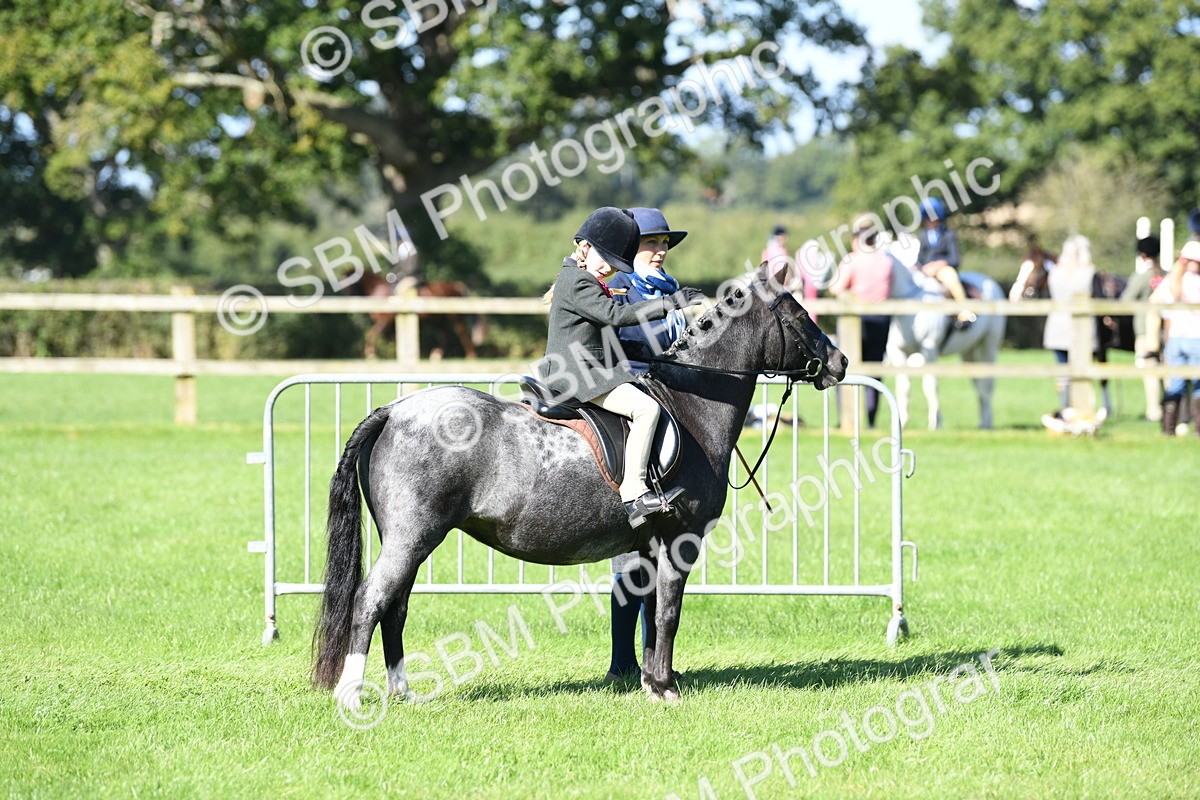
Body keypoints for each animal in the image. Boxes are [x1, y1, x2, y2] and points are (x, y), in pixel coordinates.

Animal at [312, 262, 848, 706]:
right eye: (801, 315)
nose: (840, 362)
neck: (693, 404)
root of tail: (393, 410)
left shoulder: (649, 545)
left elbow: (649, 613)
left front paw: (651, 683)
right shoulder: (682, 540)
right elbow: (668, 613)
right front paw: (667, 690)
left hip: (410, 540)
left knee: (396, 607)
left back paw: (402, 692)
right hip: (411, 537)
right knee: (371, 601)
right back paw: (351, 697)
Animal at [885, 260, 1006, 429]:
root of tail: (989, 281)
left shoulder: (929, 349)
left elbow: (930, 386)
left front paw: (936, 423)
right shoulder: (898, 352)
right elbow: (903, 387)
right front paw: (902, 421)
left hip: (988, 346)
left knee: (987, 383)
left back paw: (987, 422)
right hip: (969, 352)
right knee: (978, 383)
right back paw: (983, 420)